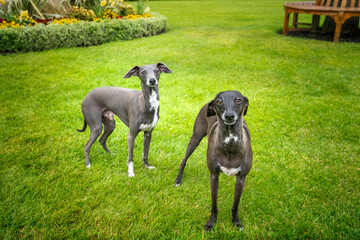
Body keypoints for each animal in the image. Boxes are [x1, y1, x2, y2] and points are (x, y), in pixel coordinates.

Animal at [175, 91, 253, 232]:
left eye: (238, 100)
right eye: (219, 101)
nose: (229, 116)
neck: (230, 143)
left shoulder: (241, 179)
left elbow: (235, 205)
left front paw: (236, 222)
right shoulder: (214, 176)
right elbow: (214, 204)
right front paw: (211, 222)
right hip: (195, 138)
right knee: (184, 159)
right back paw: (178, 180)